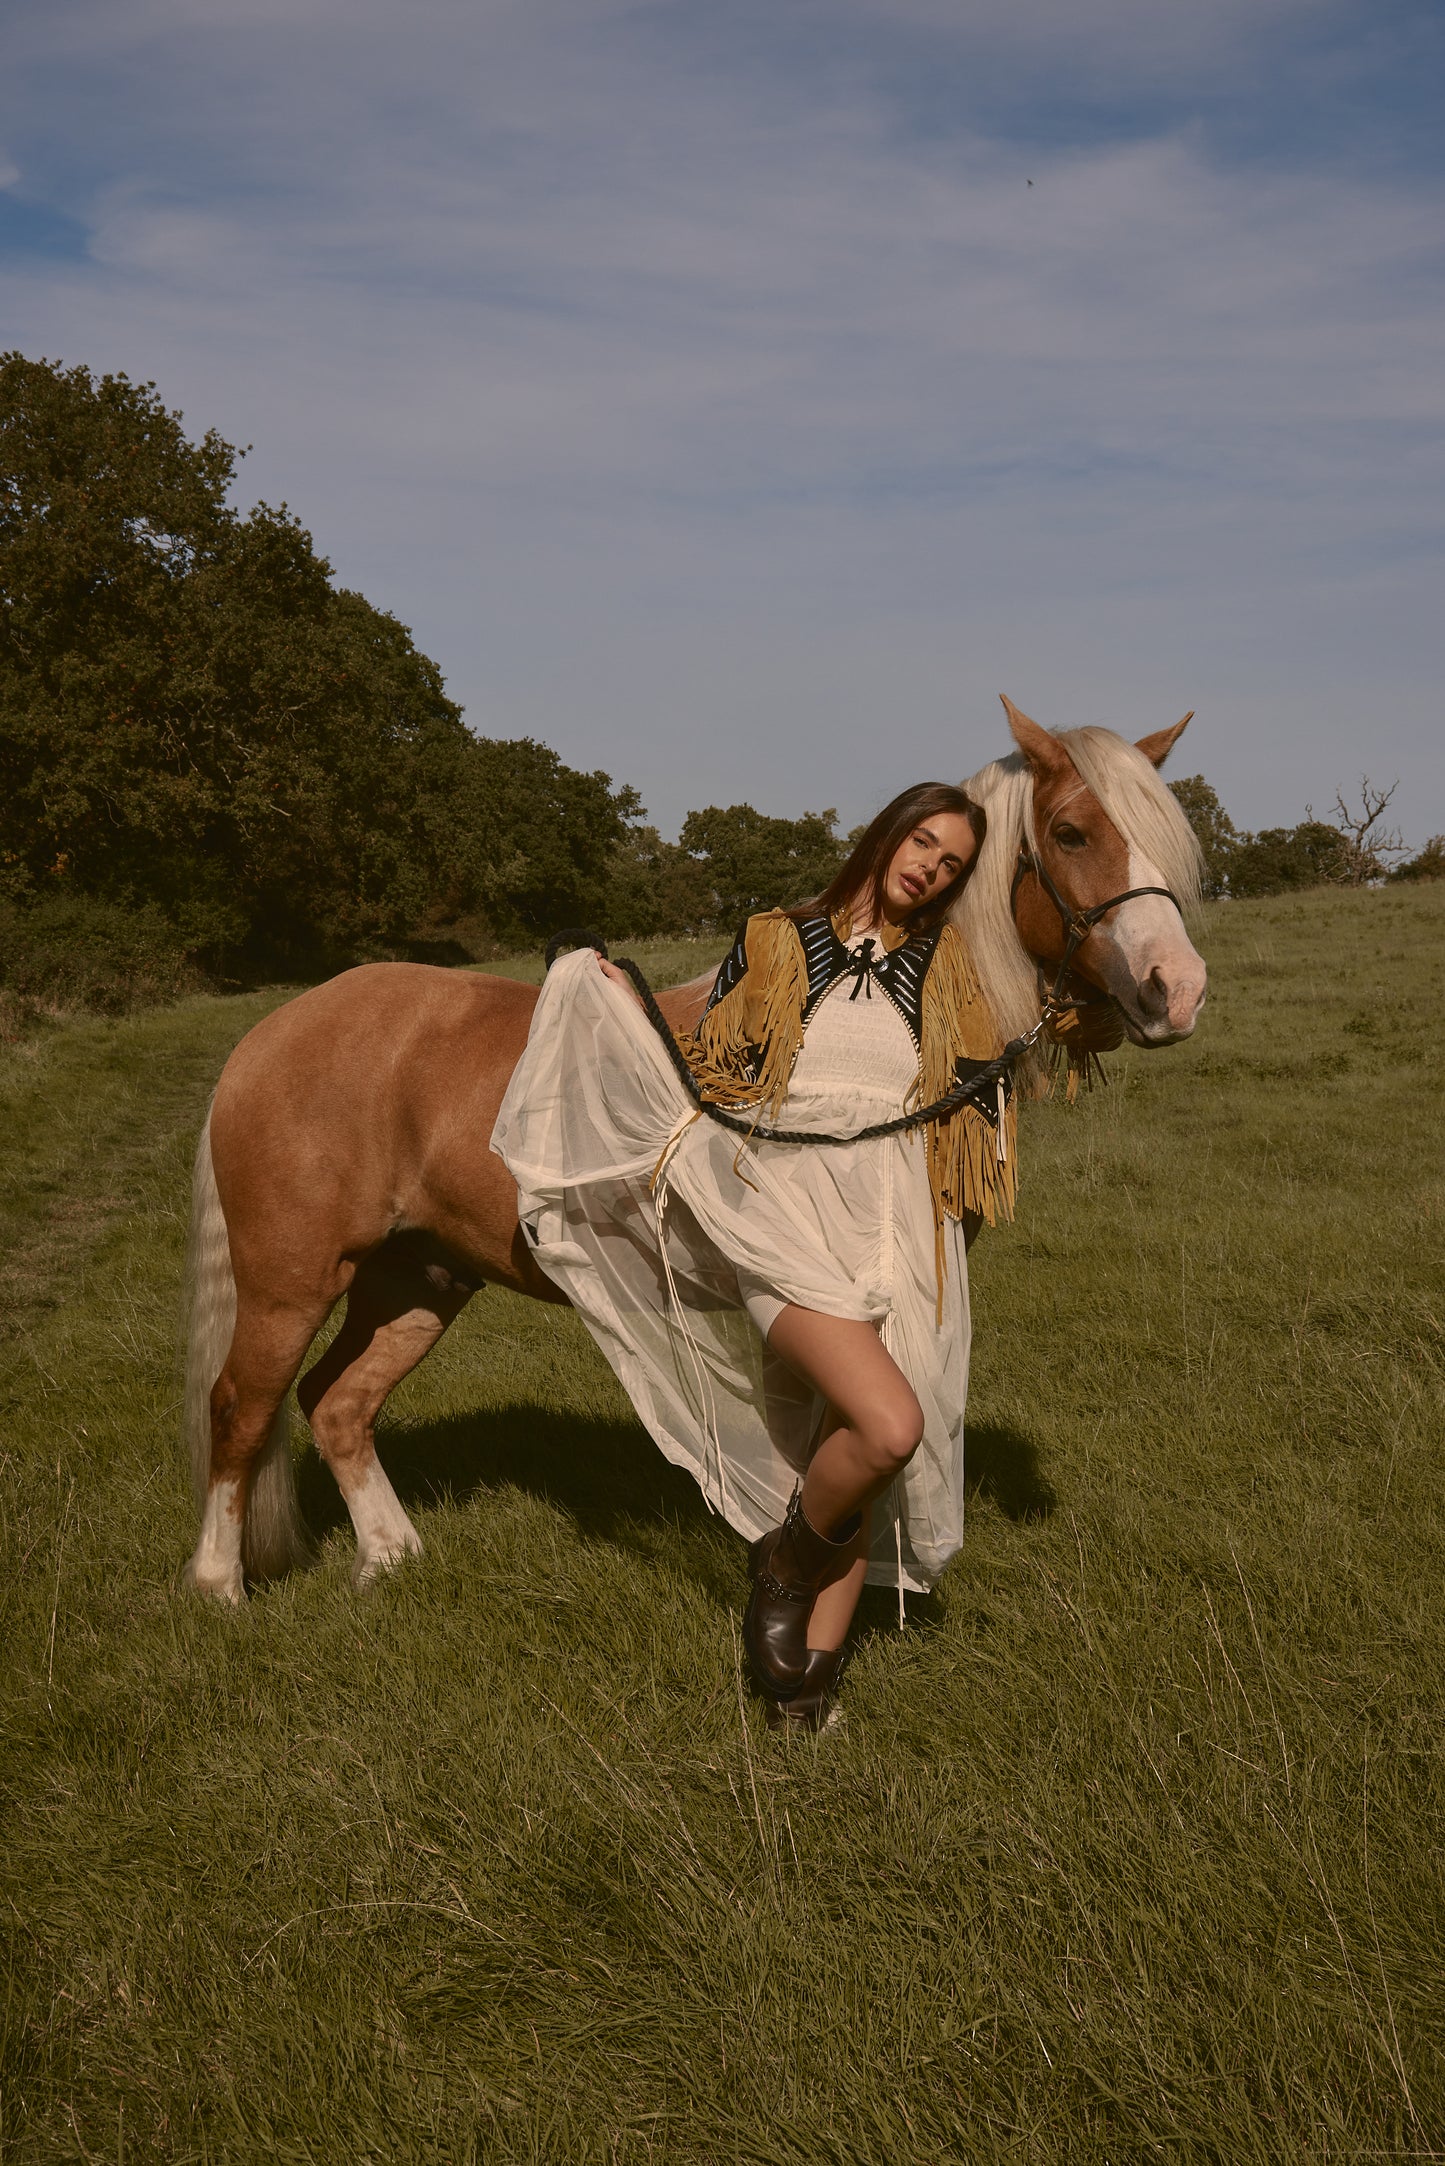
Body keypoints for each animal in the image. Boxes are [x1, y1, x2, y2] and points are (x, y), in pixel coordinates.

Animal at [180, 701, 1213, 1602]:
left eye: (1169, 836)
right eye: (1072, 833)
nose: (1177, 988)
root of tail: (270, 1033)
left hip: (418, 1276)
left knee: (337, 1403)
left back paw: (391, 1556)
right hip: (290, 1279)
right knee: (240, 1407)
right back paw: (218, 1585)